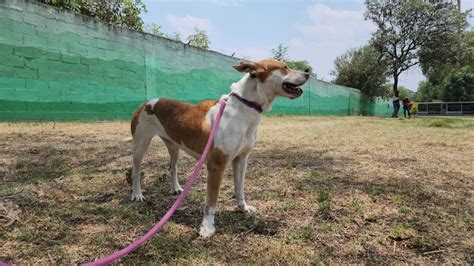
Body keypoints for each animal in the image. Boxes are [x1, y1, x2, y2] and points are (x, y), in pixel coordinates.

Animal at [130, 59, 310, 237]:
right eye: (285, 67)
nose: (308, 72)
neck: (245, 108)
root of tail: (146, 103)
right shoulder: (216, 165)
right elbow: (211, 201)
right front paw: (207, 227)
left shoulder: (241, 160)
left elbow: (240, 188)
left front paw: (243, 208)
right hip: (140, 145)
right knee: (136, 171)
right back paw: (137, 194)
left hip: (174, 148)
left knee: (172, 167)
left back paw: (176, 188)